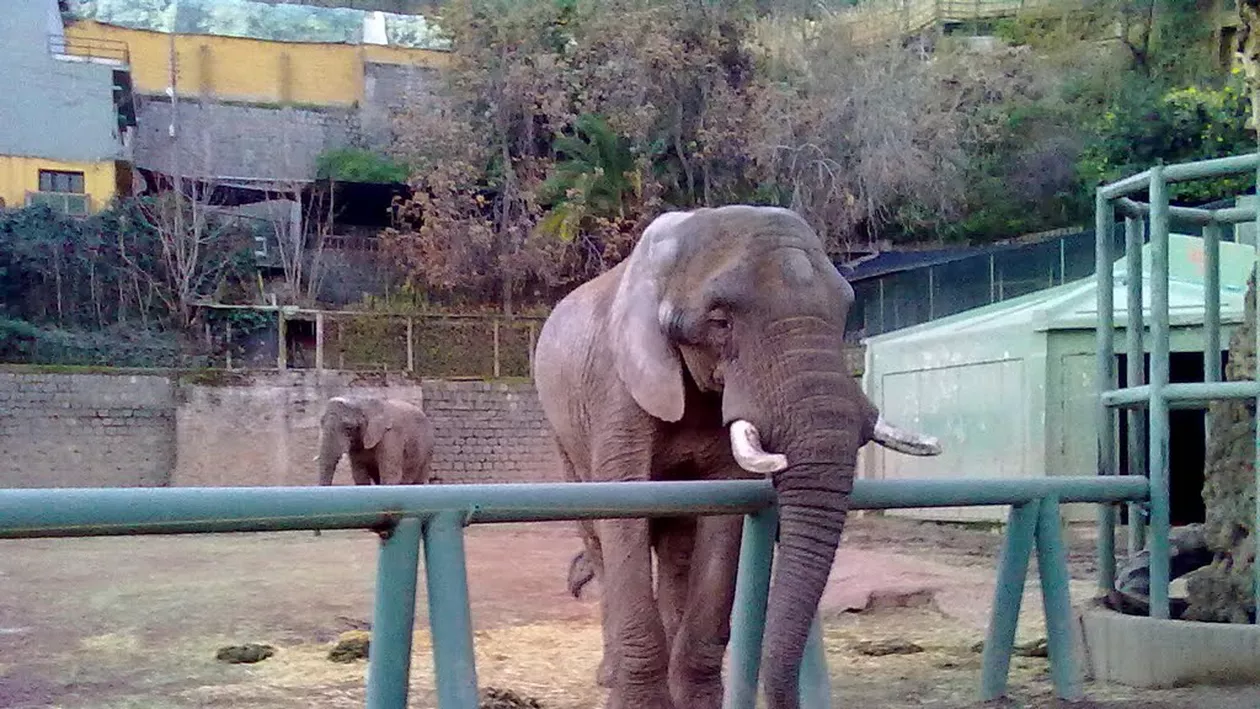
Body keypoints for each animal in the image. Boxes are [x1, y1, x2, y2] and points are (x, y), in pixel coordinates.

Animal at [312, 395, 436, 536]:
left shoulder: (391, 437)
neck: (361, 402)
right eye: (321, 422)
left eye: (348, 428)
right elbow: (359, 475)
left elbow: (390, 473)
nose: (317, 534)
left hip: (427, 449)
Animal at [532, 205, 941, 709]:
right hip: (562, 430)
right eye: (720, 320)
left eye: (845, 312)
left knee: (677, 547)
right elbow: (624, 511)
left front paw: (694, 701)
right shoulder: (617, 388)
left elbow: (722, 525)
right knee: (597, 534)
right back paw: (610, 675)